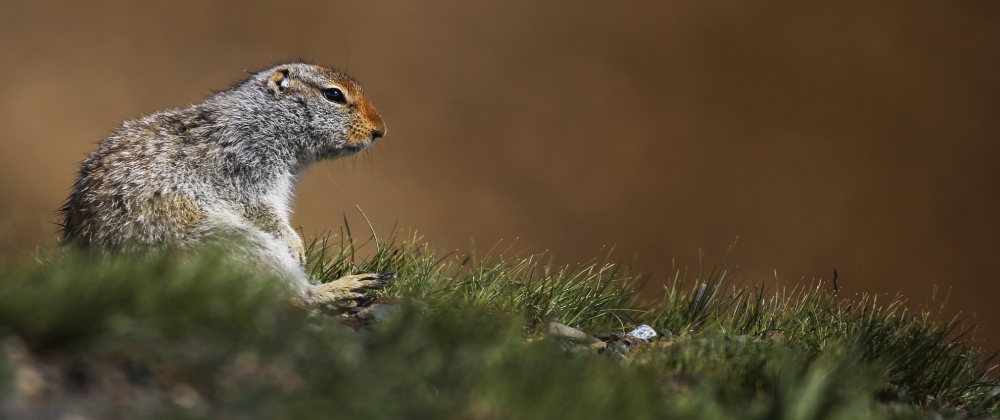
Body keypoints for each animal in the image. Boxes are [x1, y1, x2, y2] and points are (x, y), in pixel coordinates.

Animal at [57, 63, 394, 306]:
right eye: (334, 95)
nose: (380, 130)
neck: (260, 120)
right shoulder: (245, 168)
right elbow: (262, 210)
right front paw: (296, 245)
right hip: (232, 242)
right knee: (293, 296)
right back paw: (346, 286)